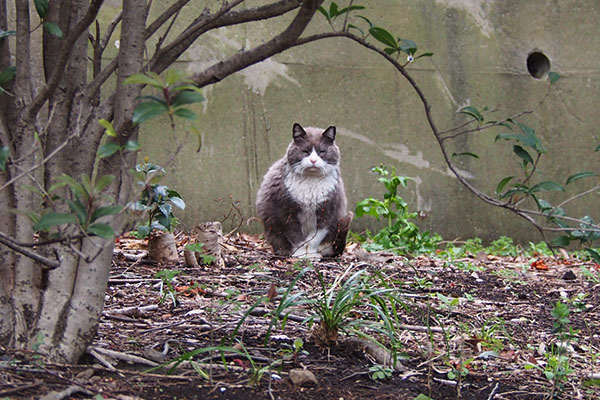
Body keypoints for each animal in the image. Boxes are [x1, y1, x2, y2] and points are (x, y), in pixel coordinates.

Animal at [256, 122, 352, 260]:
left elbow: (314, 238)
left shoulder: (327, 212)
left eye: (322, 151)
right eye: (305, 151)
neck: (311, 181)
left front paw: (311, 255)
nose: (313, 160)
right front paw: (300, 255)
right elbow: (297, 237)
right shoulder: (287, 212)